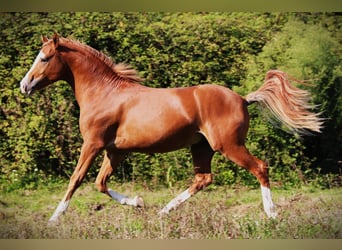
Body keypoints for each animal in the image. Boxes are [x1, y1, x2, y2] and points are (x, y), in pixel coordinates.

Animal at [20, 32, 322, 223]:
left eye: (45, 58)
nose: (24, 85)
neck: (105, 93)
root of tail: (242, 98)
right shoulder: (115, 151)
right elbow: (100, 183)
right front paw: (139, 202)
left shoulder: (93, 144)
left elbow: (76, 179)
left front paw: (53, 219)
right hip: (202, 148)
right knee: (203, 179)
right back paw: (163, 211)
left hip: (229, 145)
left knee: (260, 167)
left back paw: (272, 214)